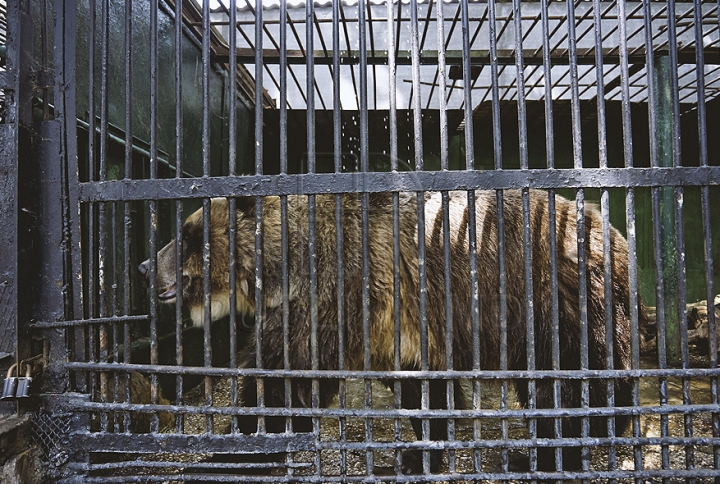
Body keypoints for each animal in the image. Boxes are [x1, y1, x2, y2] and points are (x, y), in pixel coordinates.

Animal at [138, 191, 644, 474]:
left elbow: (286, 374)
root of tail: (614, 232)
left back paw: (557, 448)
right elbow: (421, 391)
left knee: (577, 377)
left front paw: (234, 451)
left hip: (554, 299)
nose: (146, 266)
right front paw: (418, 453)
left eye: (187, 235)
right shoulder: (397, 329)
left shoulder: (336, 293)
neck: (284, 265)